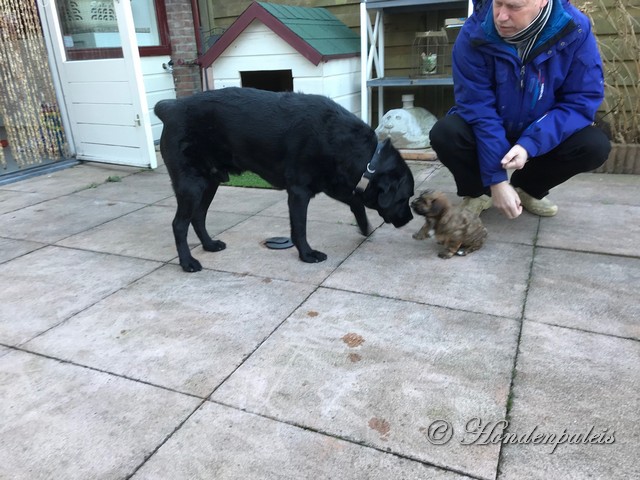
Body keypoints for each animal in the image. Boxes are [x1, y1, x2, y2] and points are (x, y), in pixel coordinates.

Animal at [155, 87, 416, 272]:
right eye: (404, 198)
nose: (410, 219)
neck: (367, 157)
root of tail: (171, 107)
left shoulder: (333, 183)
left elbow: (356, 201)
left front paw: (363, 226)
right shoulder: (299, 192)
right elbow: (299, 228)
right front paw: (307, 255)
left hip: (210, 182)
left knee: (198, 217)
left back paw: (209, 245)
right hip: (191, 186)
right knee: (179, 224)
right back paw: (187, 262)